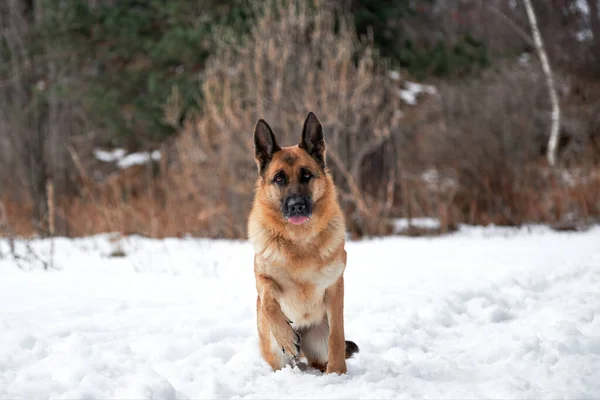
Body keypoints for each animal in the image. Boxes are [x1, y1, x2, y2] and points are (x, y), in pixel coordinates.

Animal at [247, 111, 356, 374]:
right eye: (279, 179)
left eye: (306, 175)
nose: (296, 205)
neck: (299, 241)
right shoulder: (262, 279)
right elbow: (268, 303)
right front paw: (286, 337)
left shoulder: (335, 287)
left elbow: (337, 335)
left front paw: (337, 373)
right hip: (276, 354)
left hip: (318, 340)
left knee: (321, 354)